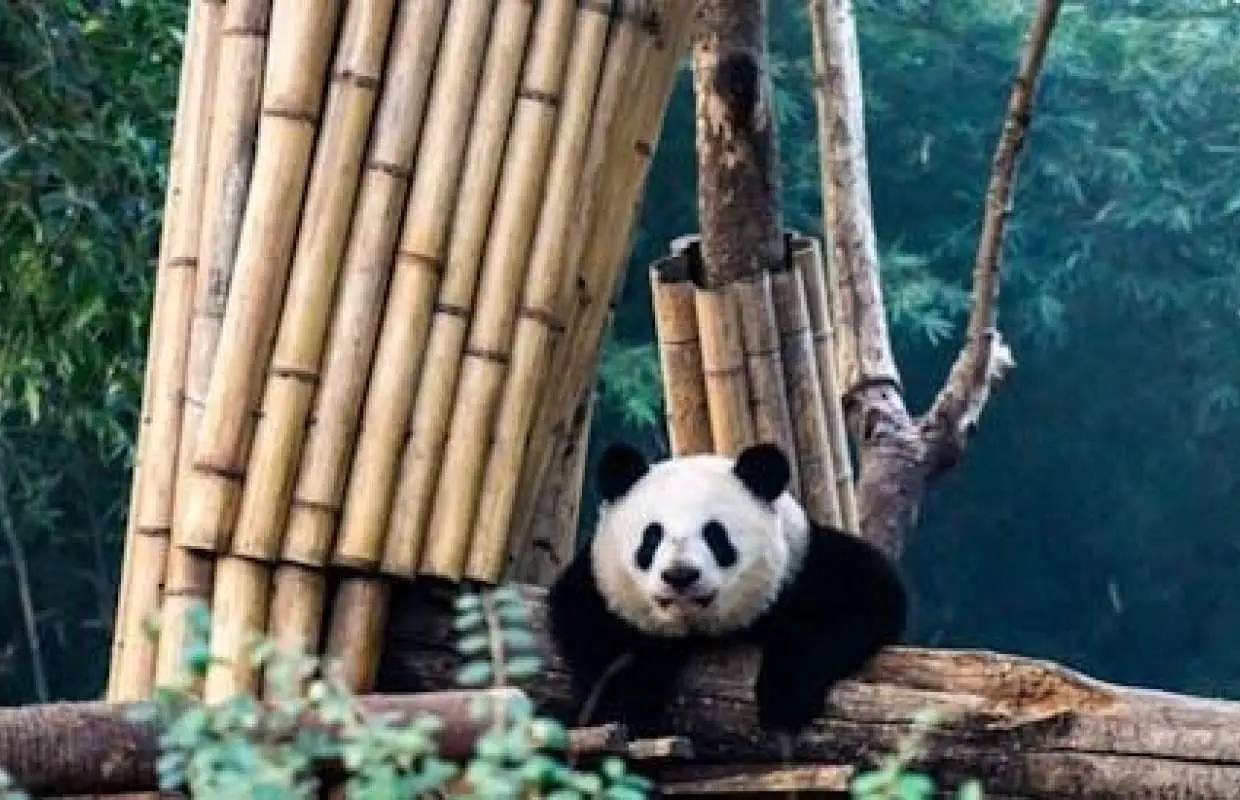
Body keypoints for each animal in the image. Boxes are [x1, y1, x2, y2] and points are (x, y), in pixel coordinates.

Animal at [547, 439, 908, 737]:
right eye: (652, 536)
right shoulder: (600, 583)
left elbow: (859, 600)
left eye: (715, 534)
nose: (680, 575)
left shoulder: (803, 565)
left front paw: (785, 699)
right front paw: (629, 702)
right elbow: (597, 635)